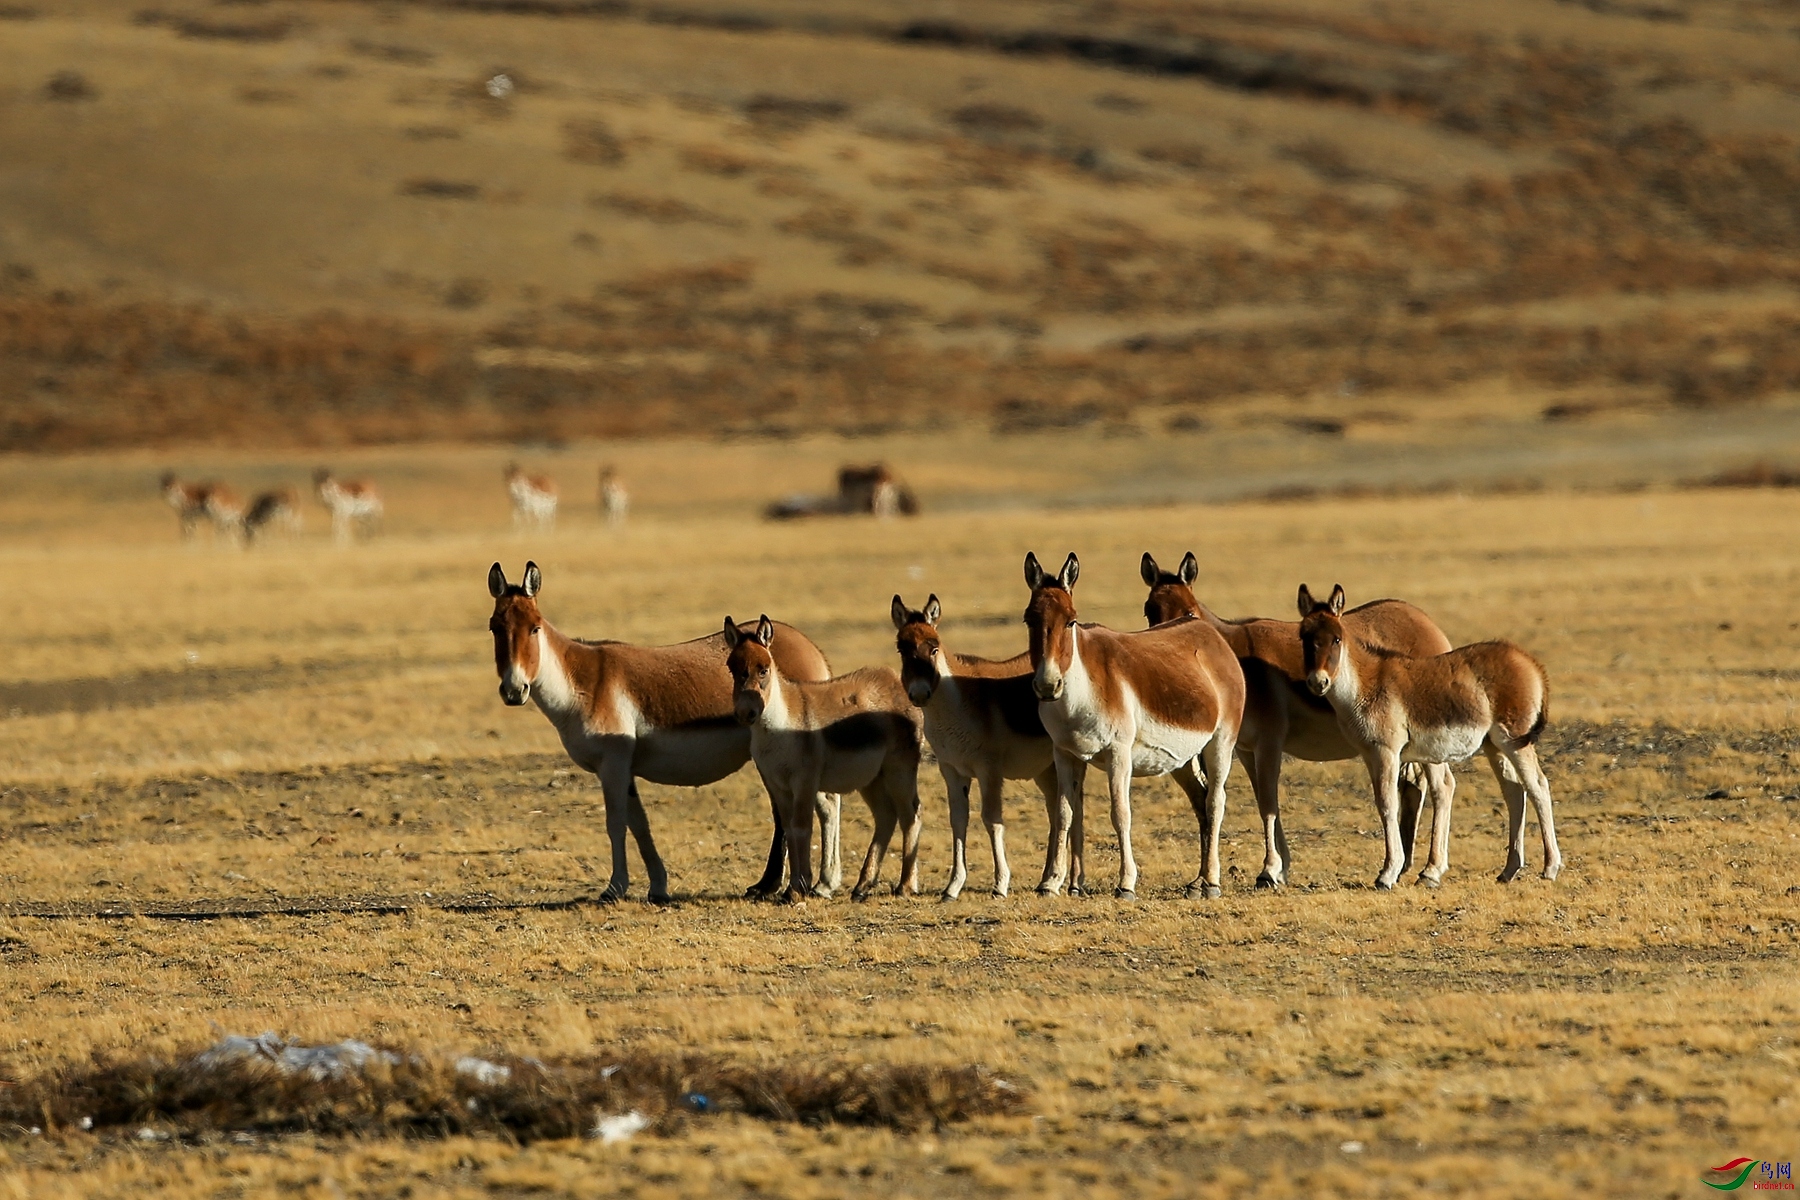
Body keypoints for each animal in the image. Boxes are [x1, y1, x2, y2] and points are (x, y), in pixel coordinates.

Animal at [489, 564, 846, 899]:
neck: (584, 681)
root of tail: (810, 648)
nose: (514, 690)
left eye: (535, 627)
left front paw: (615, 888)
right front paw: (658, 886)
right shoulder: (622, 769)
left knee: (823, 804)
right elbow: (639, 824)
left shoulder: (612, 765)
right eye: (494, 627)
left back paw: (819, 884)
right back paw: (775, 885)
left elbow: (616, 823)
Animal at [889, 597, 1051, 895]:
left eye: (934, 647)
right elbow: (958, 821)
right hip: (1046, 769)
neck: (957, 704)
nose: (919, 694)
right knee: (1058, 810)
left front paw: (1000, 884)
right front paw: (952, 887)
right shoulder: (952, 770)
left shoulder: (989, 770)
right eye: (902, 649)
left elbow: (991, 820)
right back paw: (1050, 880)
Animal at [1022, 554, 1245, 899]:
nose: (1047, 686)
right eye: (1029, 620)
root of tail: (1205, 630)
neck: (1083, 689)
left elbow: (1120, 813)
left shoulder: (1119, 753)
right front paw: (1050, 883)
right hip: (1182, 759)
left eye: (1071, 620)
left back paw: (1211, 883)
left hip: (1220, 742)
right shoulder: (1065, 754)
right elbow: (1063, 814)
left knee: (1215, 802)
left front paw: (1126, 883)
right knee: (1201, 800)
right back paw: (1197, 882)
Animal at [1296, 586, 1562, 888]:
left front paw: (1387, 874)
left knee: (1538, 786)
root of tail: (1527, 659)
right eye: (1304, 637)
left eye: (1336, 638)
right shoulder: (1370, 755)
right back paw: (1508, 871)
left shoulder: (1387, 752)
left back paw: (1550, 868)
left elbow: (1387, 803)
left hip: (1514, 740)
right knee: (1514, 791)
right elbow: (1386, 802)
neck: (1365, 684)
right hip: (1494, 746)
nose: (1318, 682)